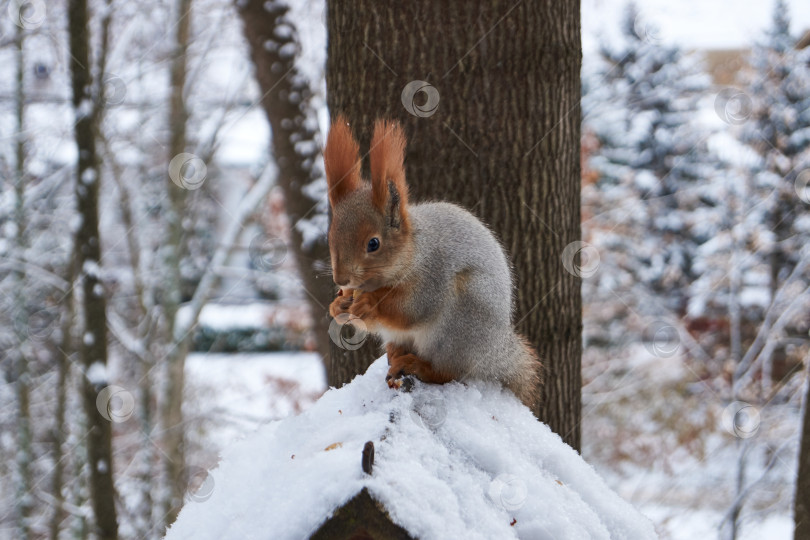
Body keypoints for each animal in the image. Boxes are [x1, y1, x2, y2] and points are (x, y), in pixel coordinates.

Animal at [322, 116, 544, 408]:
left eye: (373, 243)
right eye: (330, 236)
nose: (341, 279)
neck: (414, 252)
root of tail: (492, 353)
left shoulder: (433, 275)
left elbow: (413, 309)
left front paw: (369, 303)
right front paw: (338, 305)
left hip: (458, 324)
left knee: (447, 372)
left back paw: (417, 366)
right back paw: (396, 356)